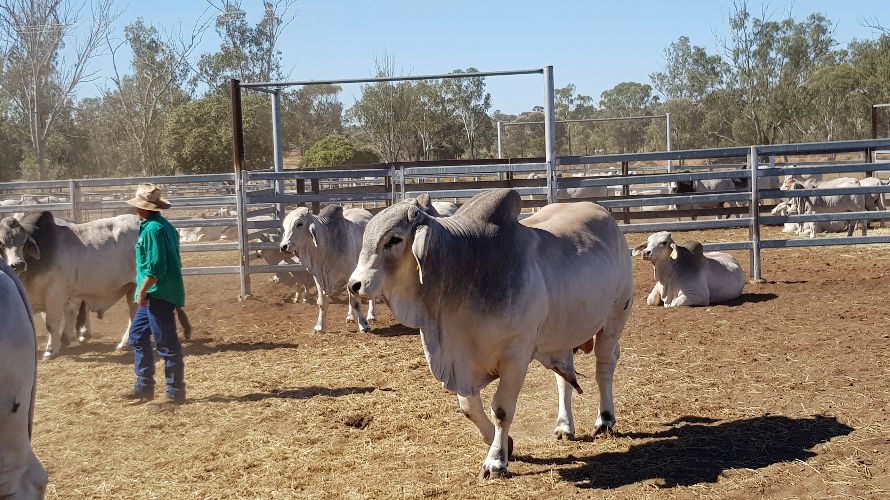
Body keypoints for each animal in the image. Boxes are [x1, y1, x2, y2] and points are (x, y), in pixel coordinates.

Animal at [280, 203, 372, 332]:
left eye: (299, 224)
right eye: (284, 226)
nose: (283, 246)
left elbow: (356, 303)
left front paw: (363, 325)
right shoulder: (318, 277)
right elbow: (322, 302)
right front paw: (320, 326)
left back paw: (371, 315)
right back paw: (350, 316)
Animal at [346, 189, 632, 478]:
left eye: (394, 239)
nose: (354, 285)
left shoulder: (516, 355)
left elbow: (502, 409)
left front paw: (496, 461)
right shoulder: (461, 362)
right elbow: (469, 408)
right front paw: (506, 443)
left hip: (614, 318)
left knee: (604, 367)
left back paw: (605, 419)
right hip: (561, 337)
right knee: (564, 379)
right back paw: (564, 426)